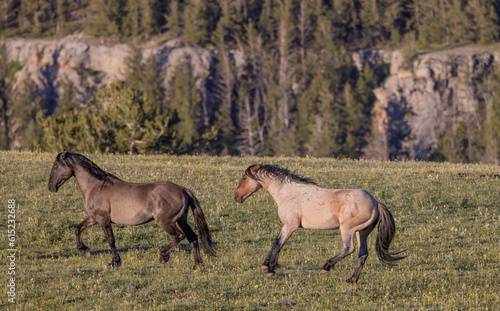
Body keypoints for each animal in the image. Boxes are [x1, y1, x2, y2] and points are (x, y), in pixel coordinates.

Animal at [47, 152, 217, 268]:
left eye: (56, 166)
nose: (51, 187)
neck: (96, 187)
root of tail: (182, 189)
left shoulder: (103, 219)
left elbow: (111, 240)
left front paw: (115, 262)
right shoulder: (93, 218)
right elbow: (78, 229)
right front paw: (85, 251)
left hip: (166, 221)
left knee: (179, 236)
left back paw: (163, 257)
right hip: (181, 220)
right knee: (193, 237)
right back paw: (197, 264)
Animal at [233, 165, 402, 284]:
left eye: (244, 178)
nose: (236, 197)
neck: (288, 193)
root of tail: (376, 202)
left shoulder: (290, 225)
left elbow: (278, 243)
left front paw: (270, 269)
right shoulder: (288, 226)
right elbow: (276, 243)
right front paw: (265, 265)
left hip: (347, 229)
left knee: (349, 249)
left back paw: (326, 267)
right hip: (363, 232)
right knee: (363, 254)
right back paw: (351, 280)